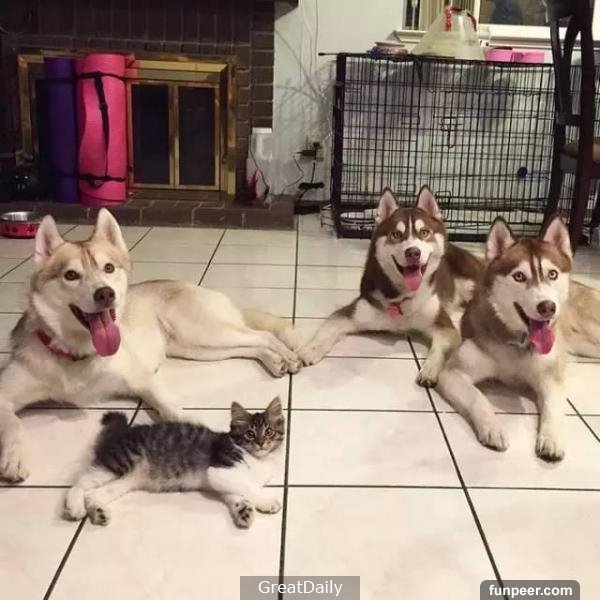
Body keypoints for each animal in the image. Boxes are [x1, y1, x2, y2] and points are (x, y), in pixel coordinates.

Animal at [0, 209, 301, 482]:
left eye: (108, 268)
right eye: (71, 275)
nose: (105, 294)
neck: (79, 353)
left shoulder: (142, 379)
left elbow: (169, 407)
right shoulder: (5, 393)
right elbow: (13, 423)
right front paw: (13, 458)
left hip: (202, 332)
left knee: (263, 335)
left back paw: (286, 357)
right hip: (200, 348)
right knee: (252, 344)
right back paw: (276, 360)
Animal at [63, 397, 285, 528]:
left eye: (269, 432)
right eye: (250, 434)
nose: (261, 443)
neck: (259, 459)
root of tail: (121, 432)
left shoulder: (222, 481)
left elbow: (237, 494)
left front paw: (243, 510)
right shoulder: (220, 468)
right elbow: (248, 488)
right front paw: (267, 501)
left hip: (127, 481)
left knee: (94, 493)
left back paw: (98, 512)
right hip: (119, 461)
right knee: (81, 482)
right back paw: (75, 507)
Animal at [298, 186, 484, 386]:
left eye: (424, 232)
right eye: (396, 234)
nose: (413, 252)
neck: (402, 298)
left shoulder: (443, 325)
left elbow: (441, 346)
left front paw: (430, 370)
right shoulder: (353, 312)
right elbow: (327, 329)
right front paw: (310, 349)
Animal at [436, 215, 577, 461]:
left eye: (552, 274)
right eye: (519, 276)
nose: (547, 307)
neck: (518, 343)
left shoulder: (551, 378)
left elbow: (553, 408)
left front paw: (551, 439)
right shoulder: (453, 373)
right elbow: (478, 398)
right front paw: (493, 428)